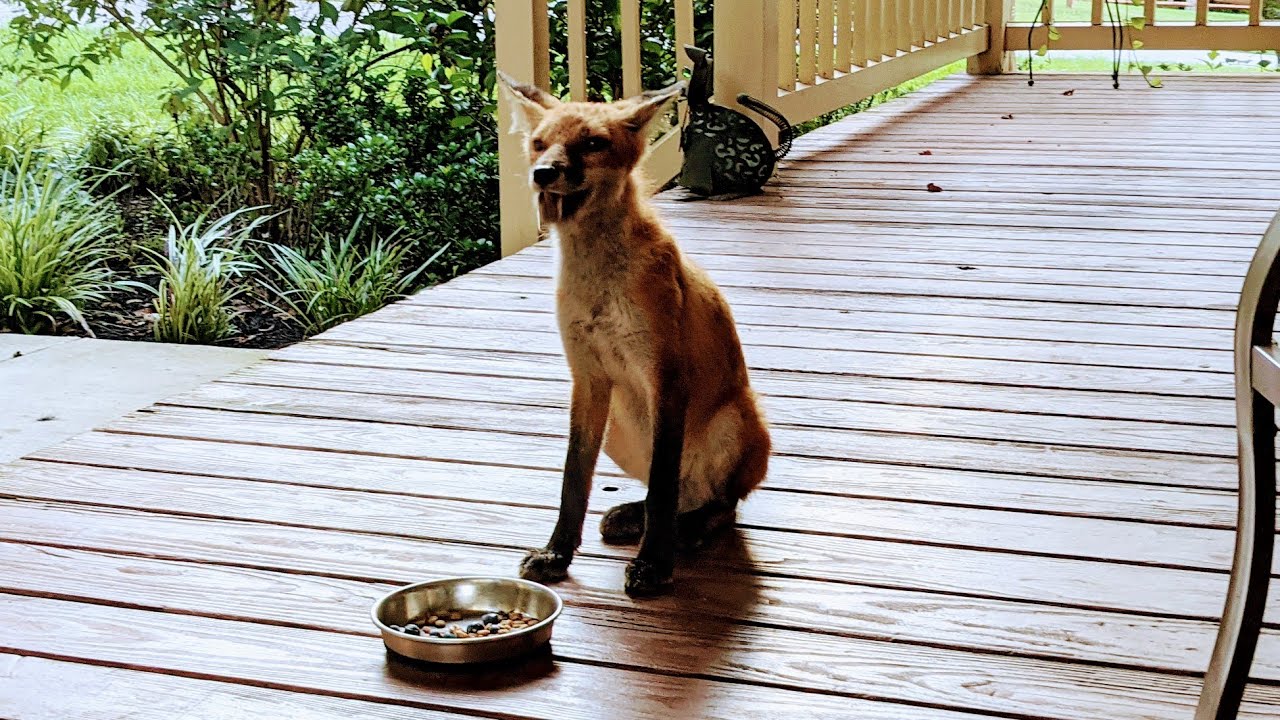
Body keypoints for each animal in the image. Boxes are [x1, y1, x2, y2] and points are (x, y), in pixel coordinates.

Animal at [498, 72, 771, 598]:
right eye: (539, 143)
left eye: (592, 144)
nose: (543, 173)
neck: (599, 290)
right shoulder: (587, 377)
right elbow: (573, 479)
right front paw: (557, 553)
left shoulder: (665, 376)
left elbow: (662, 485)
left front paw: (654, 564)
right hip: (618, 430)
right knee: (676, 496)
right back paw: (635, 516)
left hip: (736, 419)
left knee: (716, 508)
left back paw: (688, 531)